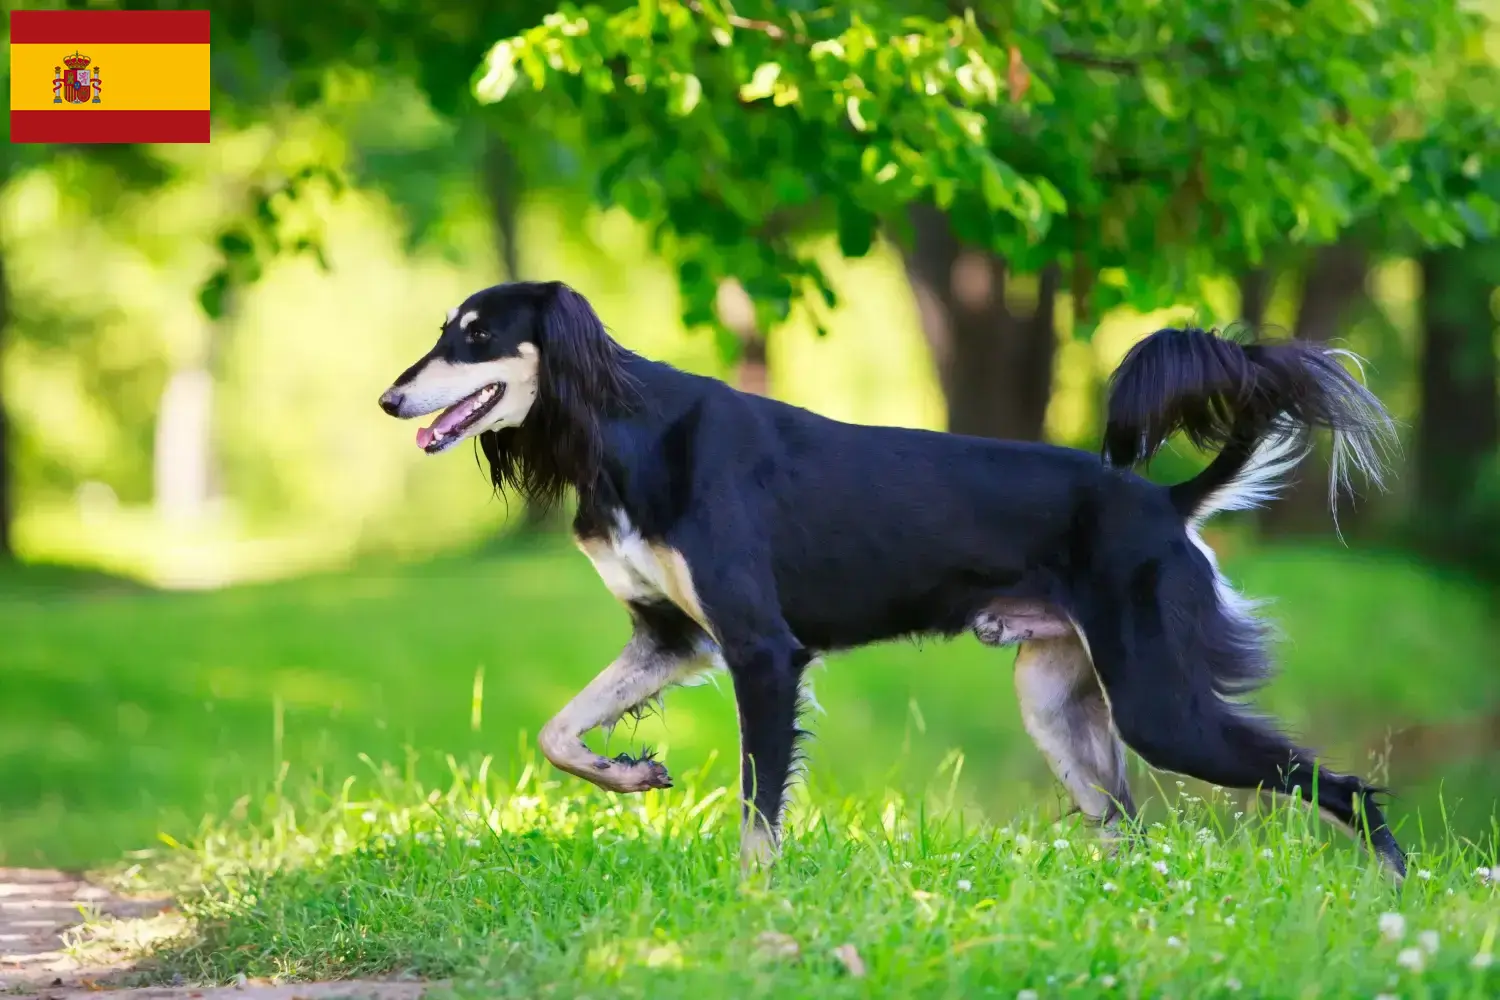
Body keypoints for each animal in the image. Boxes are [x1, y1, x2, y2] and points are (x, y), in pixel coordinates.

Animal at [378, 281, 1404, 875]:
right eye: (445, 331)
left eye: (476, 336)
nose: (390, 397)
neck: (625, 431)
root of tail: (1161, 502)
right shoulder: (671, 638)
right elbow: (556, 731)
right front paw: (627, 773)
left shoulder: (762, 651)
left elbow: (758, 809)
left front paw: (755, 907)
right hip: (1057, 700)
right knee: (1131, 826)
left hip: (1160, 704)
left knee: (1340, 784)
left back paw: (1393, 883)